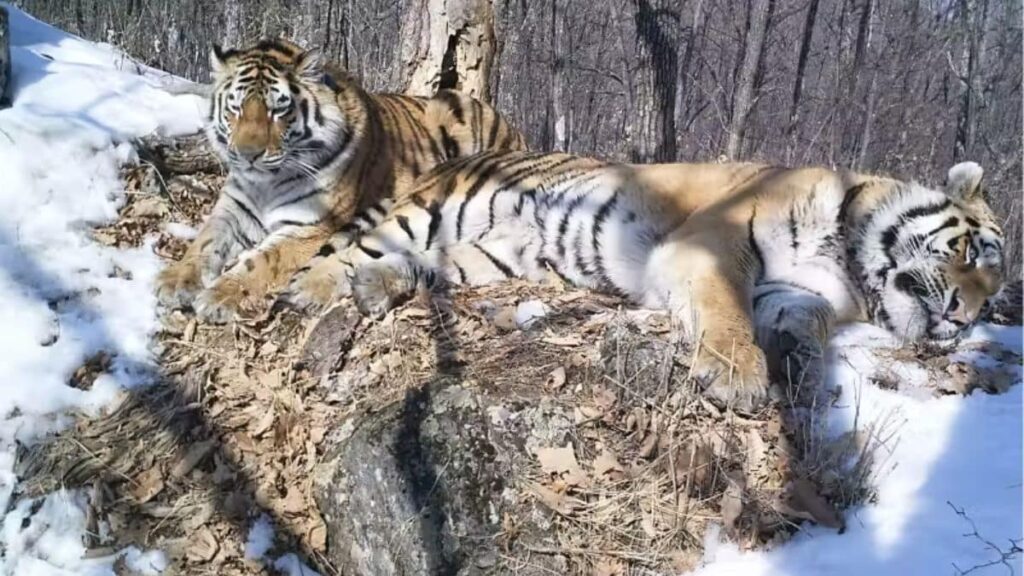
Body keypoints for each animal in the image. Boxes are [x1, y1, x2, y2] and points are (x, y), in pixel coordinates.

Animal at [154, 38, 526, 323]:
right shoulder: (232, 210)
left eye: (278, 110)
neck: (266, 184)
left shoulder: (309, 227)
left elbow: (259, 262)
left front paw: (219, 295)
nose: (247, 155)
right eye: (236, 108)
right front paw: (174, 281)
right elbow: (203, 243)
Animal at [280, 150, 1008, 412]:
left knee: (416, 267)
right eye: (972, 253)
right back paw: (309, 291)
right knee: (343, 252)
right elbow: (726, 312)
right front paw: (739, 377)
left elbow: (804, 325)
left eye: (994, 296)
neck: (849, 262)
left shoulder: (798, 292)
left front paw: (799, 370)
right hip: (434, 211)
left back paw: (377, 288)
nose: (963, 318)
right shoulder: (713, 244)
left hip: (488, 256)